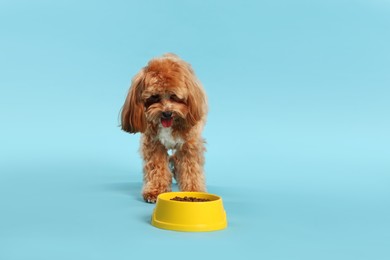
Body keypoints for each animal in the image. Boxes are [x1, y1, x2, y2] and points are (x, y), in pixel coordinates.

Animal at [121, 53, 207, 203]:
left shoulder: (189, 144)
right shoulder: (154, 144)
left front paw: (193, 190)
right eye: (154, 97)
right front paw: (155, 191)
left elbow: (191, 168)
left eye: (174, 96)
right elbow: (157, 168)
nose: (167, 113)